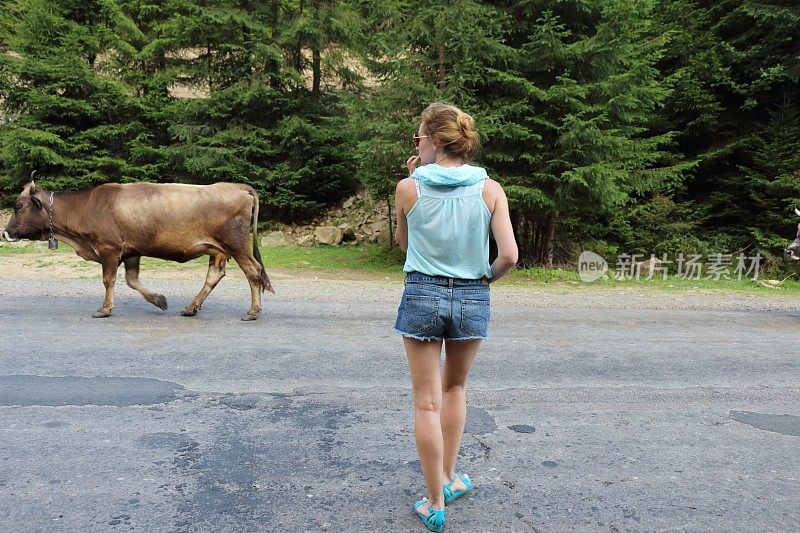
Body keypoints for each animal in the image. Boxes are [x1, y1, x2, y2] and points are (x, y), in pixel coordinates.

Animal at [1, 179, 274, 320]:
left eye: (19, 206)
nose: (5, 232)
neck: (87, 207)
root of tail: (237, 186)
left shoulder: (109, 249)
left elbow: (108, 280)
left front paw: (104, 309)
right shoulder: (132, 251)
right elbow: (132, 281)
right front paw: (159, 300)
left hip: (236, 245)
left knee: (253, 271)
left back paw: (252, 311)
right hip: (217, 250)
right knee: (215, 275)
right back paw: (191, 307)